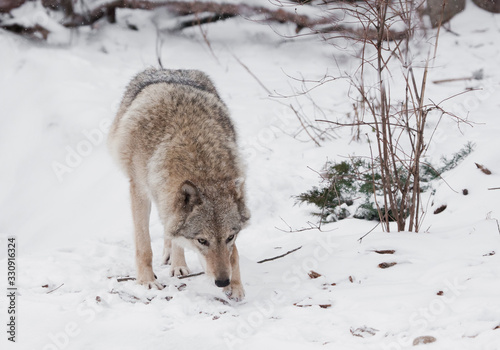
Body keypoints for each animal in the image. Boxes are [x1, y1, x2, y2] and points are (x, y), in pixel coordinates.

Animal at [108, 68, 250, 300]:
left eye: (230, 236)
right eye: (202, 241)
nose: (222, 281)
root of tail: (168, 69)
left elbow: (234, 254)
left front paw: (236, 286)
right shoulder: (139, 190)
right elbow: (144, 246)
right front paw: (146, 281)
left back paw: (177, 264)